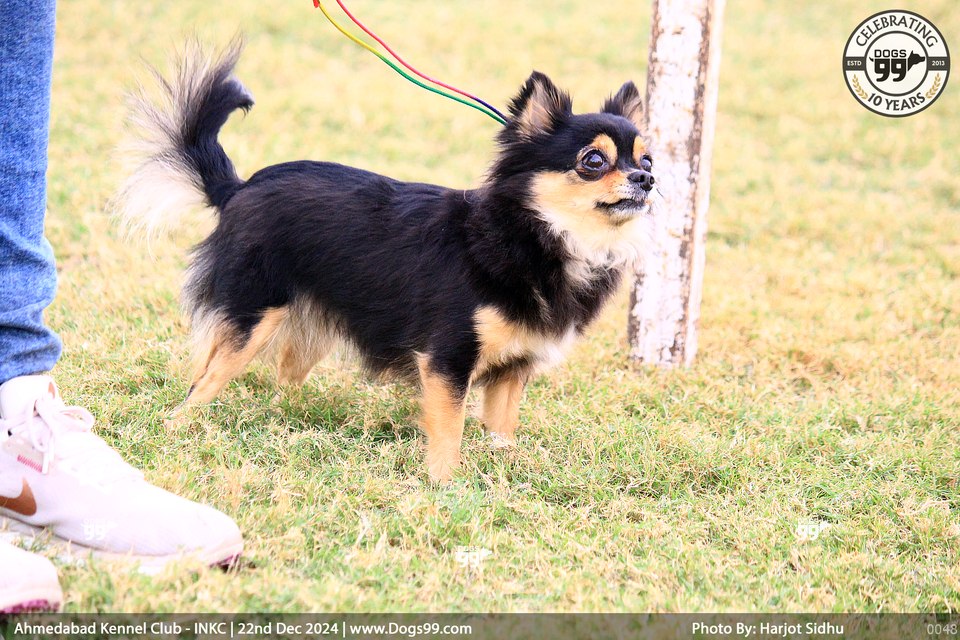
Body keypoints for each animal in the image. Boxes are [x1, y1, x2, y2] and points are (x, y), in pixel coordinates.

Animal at [116, 42, 657, 482]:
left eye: (647, 160)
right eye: (593, 161)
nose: (647, 180)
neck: (536, 236)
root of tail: (239, 188)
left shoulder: (513, 369)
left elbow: (502, 430)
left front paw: (506, 467)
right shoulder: (447, 358)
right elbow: (449, 428)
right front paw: (445, 483)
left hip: (307, 324)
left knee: (280, 377)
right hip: (253, 316)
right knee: (203, 380)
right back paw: (178, 427)